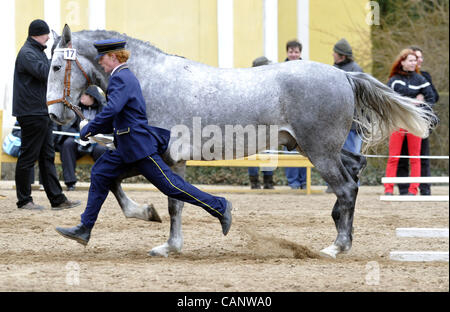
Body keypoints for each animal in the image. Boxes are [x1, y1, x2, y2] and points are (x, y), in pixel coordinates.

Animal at [46, 25, 436, 258]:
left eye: (55, 67)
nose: (55, 116)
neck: (147, 79)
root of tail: (344, 75)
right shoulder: (156, 156)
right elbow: (129, 186)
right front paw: (148, 219)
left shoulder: (159, 156)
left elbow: (171, 201)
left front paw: (168, 243)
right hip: (323, 148)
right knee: (354, 175)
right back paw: (343, 236)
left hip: (320, 152)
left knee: (347, 188)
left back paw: (336, 247)